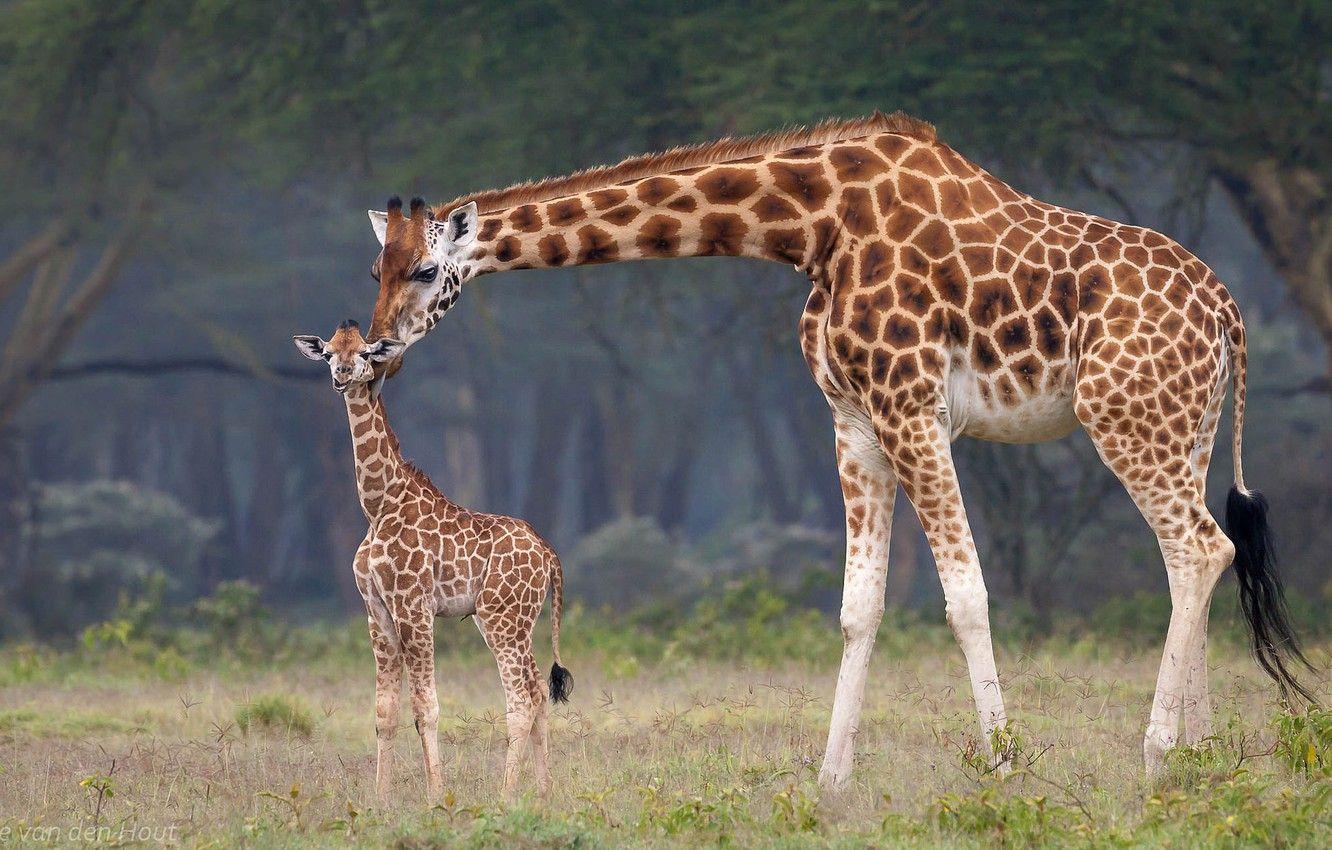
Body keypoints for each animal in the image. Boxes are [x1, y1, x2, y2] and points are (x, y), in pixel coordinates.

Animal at [292, 320, 573, 802]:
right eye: (328, 353)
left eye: (364, 353)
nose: (342, 375)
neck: (379, 505)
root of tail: (549, 554)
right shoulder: (377, 610)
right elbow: (384, 710)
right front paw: (380, 800)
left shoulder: (413, 606)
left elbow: (426, 706)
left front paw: (436, 797)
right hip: (515, 620)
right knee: (537, 690)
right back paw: (543, 793)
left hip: (502, 620)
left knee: (520, 698)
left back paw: (505, 798)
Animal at [360, 113, 1314, 787]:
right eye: (374, 272)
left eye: (423, 272)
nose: (375, 348)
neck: (811, 225)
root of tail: (1229, 312)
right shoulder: (852, 420)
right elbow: (860, 608)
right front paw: (830, 783)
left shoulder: (911, 407)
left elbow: (966, 597)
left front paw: (1005, 767)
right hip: (1180, 428)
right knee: (1192, 555)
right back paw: (1195, 760)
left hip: (1125, 417)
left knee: (1200, 547)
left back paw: (1157, 755)